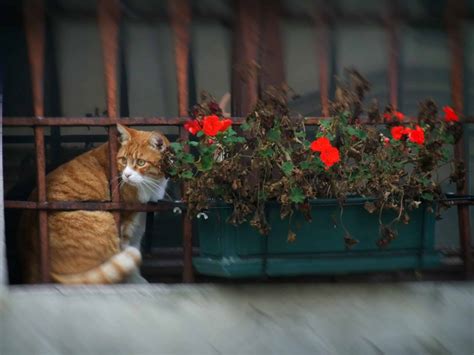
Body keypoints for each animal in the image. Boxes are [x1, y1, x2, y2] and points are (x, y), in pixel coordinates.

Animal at [19, 124, 170, 284]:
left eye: (141, 162)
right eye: (123, 160)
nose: (126, 175)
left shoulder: (139, 219)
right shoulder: (126, 221)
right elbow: (127, 253)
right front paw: (133, 280)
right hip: (105, 219)